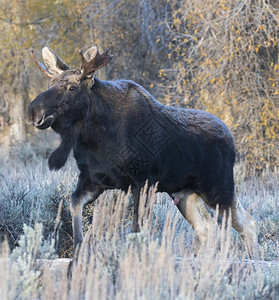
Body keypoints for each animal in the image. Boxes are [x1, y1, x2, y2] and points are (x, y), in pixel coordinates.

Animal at [26, 44, 260, 258]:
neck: (96, 137)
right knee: (207, 228)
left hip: (218, 188)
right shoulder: (93, 181)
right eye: (50, 83)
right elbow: (74, 204)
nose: (33, 112)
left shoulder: (144, 181)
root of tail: (231, 138)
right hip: (185, 193)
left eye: (72, 88)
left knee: (248, 223)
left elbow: (137, 229)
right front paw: (79, 251)